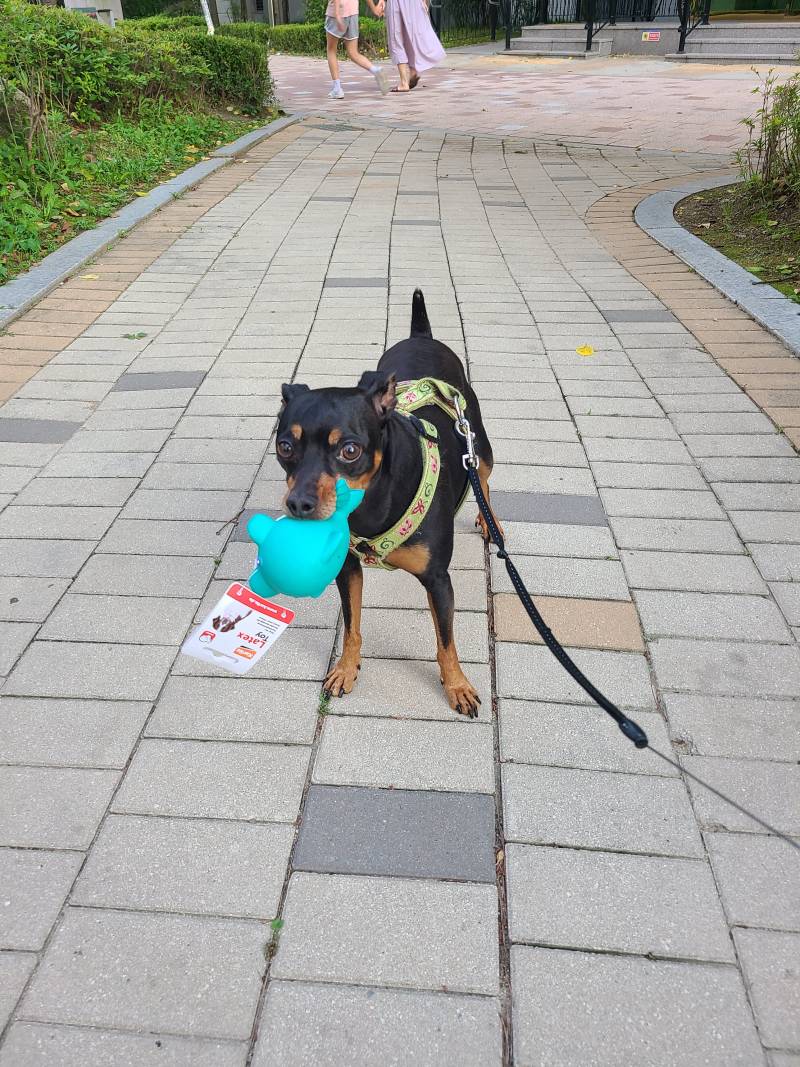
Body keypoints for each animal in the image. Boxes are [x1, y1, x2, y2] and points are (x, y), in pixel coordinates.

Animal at [275, 290, 501, 717]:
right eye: (284, 446)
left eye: (349, 450)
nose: (298, 504)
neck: (369, 506)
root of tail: (421, 336)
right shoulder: (347, 568)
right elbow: (352, 627)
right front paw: (346, 669)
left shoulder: (438, 580)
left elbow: (446, 643)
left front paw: (457, 686)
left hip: (476, 440)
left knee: (481, 477)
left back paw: (490, 522)